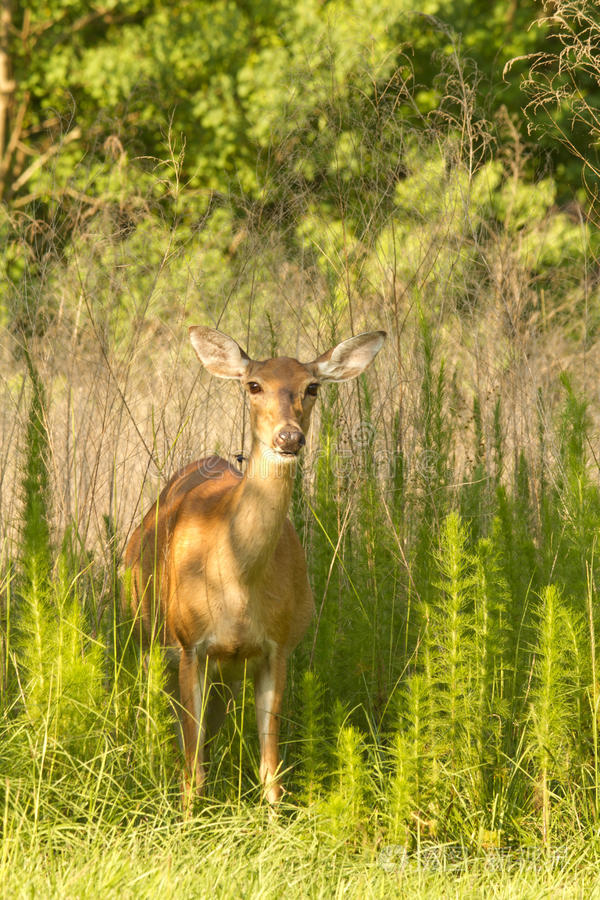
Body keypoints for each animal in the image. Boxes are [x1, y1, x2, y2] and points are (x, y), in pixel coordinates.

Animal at [124, 328, 386, 808]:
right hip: (145, 631)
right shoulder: (191, 644)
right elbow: (192, 769)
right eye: (254, 385)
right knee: (157, 718)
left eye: (312, 386)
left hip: (223, 672)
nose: (289, 437)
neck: (236, 582)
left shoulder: (277, 647)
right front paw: (187, 818)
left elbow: (270, 771)